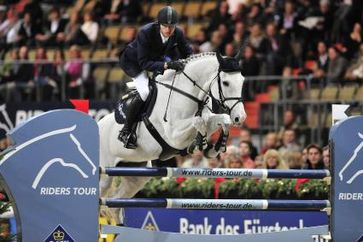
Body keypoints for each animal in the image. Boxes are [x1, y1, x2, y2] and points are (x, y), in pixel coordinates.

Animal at [98, 52, 247, 222]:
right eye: (226, 82)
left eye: (242, 80)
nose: (240, 117)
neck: (187, 95)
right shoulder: (174, 135)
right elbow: (199, 120)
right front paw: (201, 142)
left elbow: (219, 119)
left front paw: (214, 147)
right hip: (105, 175)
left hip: (136, 175)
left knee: (115, 203)